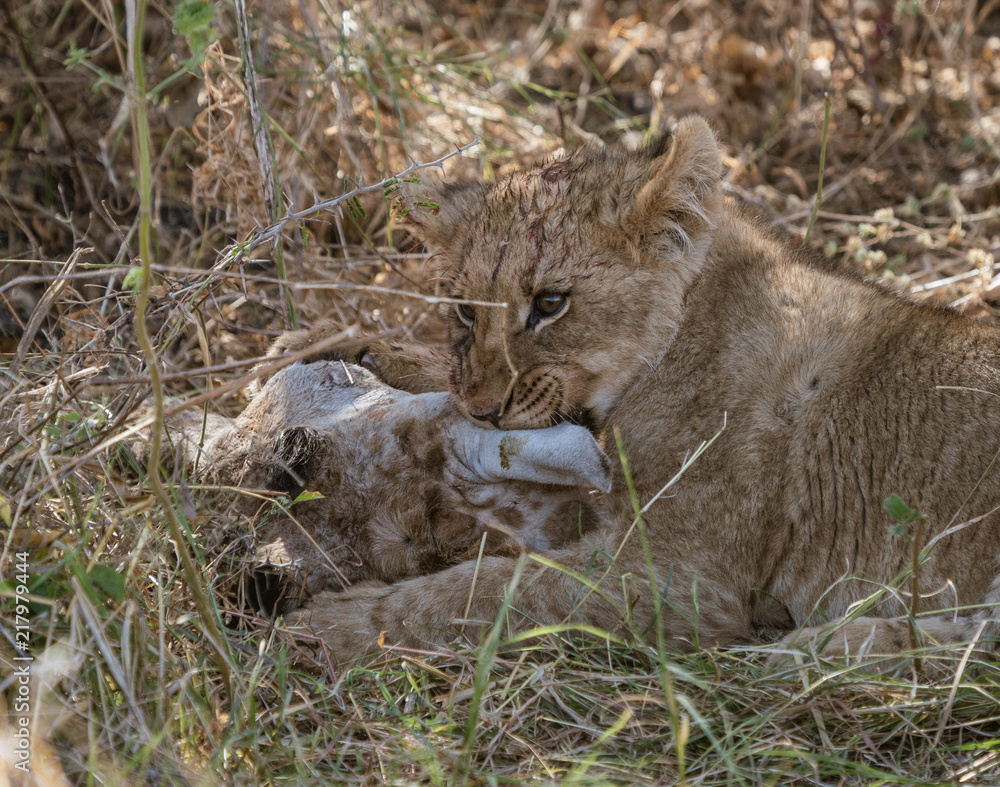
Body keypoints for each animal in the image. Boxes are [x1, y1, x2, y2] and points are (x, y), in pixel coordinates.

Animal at [282, 115, 1000, 667]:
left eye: (551, 302)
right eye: (464, 309)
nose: (483, 410)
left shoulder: (682, 574)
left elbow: (492, 591)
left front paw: (337, 625)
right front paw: (364, 353)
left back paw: (824, 647)